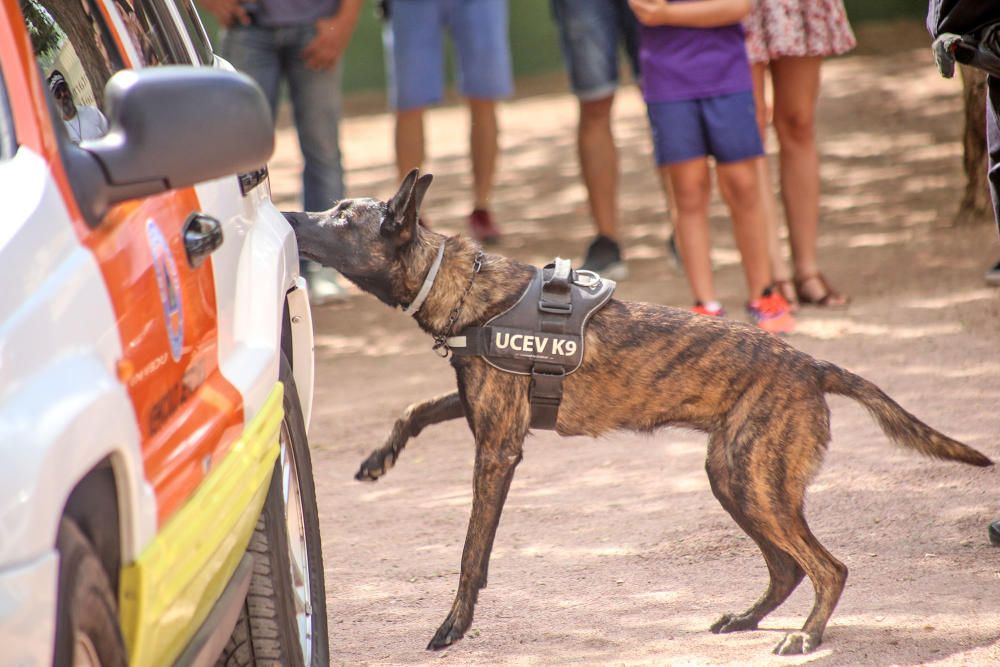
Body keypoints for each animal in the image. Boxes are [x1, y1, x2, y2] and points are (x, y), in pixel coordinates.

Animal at [284, 170, 992, 656]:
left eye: (341, 217)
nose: (287, 213)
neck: (459, 283)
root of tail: (810, 363)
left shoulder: (498, 447)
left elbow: (469, 552)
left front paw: (454, 625)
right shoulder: (479, 406)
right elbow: (415, 408)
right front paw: (379, 459)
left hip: (753, 484)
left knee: (828, 567)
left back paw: (806, 637)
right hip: (735, 481)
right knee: (789, 566)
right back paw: (747, 618)